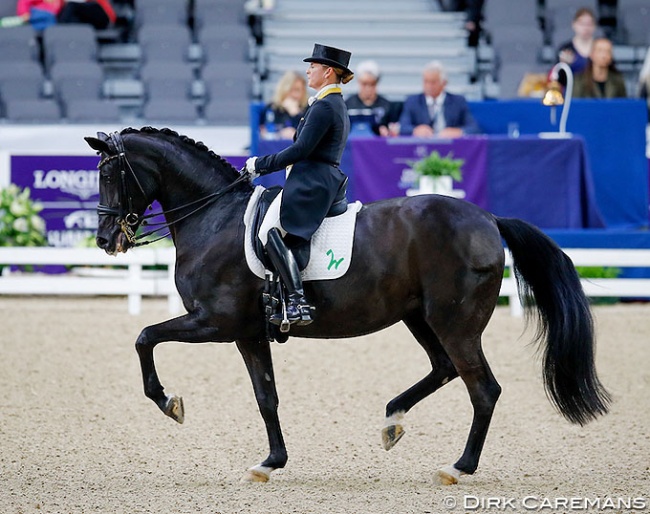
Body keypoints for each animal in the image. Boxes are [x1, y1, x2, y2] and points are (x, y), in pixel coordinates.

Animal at [85, 126, 608, 482]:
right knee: (444, 369)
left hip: (454, 322)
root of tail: (487, 217)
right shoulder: (248, 332)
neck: (215, 218)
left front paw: (168, 401)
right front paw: (270, 463)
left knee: (483, 389)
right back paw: (393, 420)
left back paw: (458, 467)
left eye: (110, 174)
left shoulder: (215, 322)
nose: (106, 240)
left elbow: (145, 337)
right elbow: (266, 396)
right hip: (420, 317)